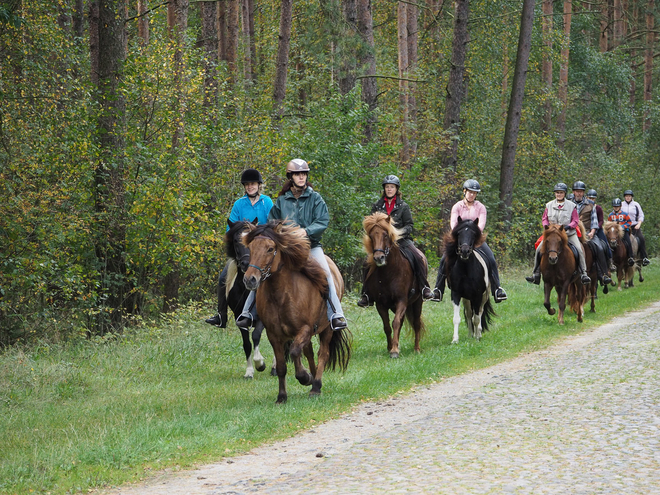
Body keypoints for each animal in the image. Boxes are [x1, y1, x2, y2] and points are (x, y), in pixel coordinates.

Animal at [224, 219, 270, 378]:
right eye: (235, 241)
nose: (246, 263)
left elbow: (256, 336)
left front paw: (260, 364)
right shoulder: (239, 316)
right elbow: (246, 344)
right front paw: (249, 371)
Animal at [240, 221, 348, 404]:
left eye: (270, 248)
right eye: (251, 248)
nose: (250, 279)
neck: (281, 294)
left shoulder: (304, 328)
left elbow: (295, 351)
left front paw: (304, 377)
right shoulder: (274, 334)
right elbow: (282, 366)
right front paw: (282, 396)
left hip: (327, 329)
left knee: (322, 353)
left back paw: (316, 385)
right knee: (309, 352)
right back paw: (314, 378)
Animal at [358, 211, 426, 358]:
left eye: (385, 234)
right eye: (371, 236)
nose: (379, 258)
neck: (388, 273)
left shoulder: (401, 300)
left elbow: (395, 323)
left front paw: (394, 351)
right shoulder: (381, 304)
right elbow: (387, 326)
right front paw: (391, 347)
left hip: (418, 301)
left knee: (416, 323)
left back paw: (417, 348)